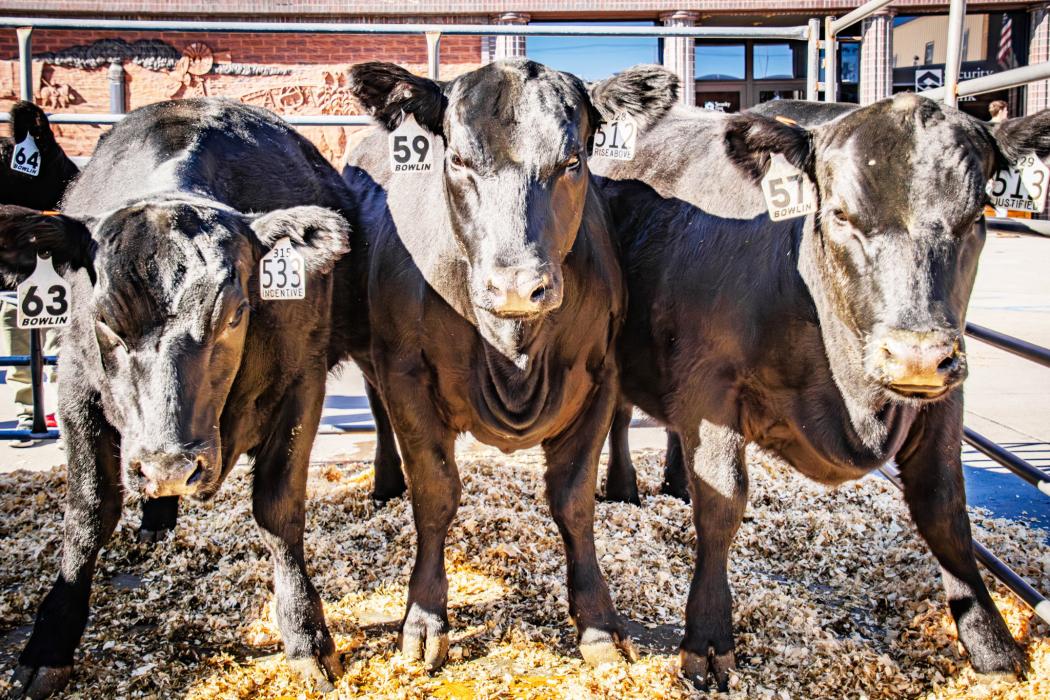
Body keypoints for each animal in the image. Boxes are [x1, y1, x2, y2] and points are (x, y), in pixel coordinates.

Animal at [0, 98, 353, 698]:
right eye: (104, 320)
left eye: (234, 315)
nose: (170, 465)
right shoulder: (73, 386)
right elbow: (88, 512)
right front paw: (49, 644)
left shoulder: (302, 384)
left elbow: (278, 509)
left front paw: (305, 635)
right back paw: (157, 515)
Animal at [340, 60, 678, 670]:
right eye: (456, 160)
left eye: (573, 161)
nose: (518, 285)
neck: (514, 353)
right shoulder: (404, 372)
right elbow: (435, 493)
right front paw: (424, 619)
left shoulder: (601, 377)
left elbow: (573, 501)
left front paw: (598, 622)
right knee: (376, 411)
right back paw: (384, 482)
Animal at [591, 92, 1047, 688]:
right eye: (841, 215)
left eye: (976, 218)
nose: (916, 356)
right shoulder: (710, 389)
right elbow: (722, 505)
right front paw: (708, 640)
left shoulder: (946, 399)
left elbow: (945, 509)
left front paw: (991, 646)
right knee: (622, 417)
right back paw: (623, 487)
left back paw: (674, 482)